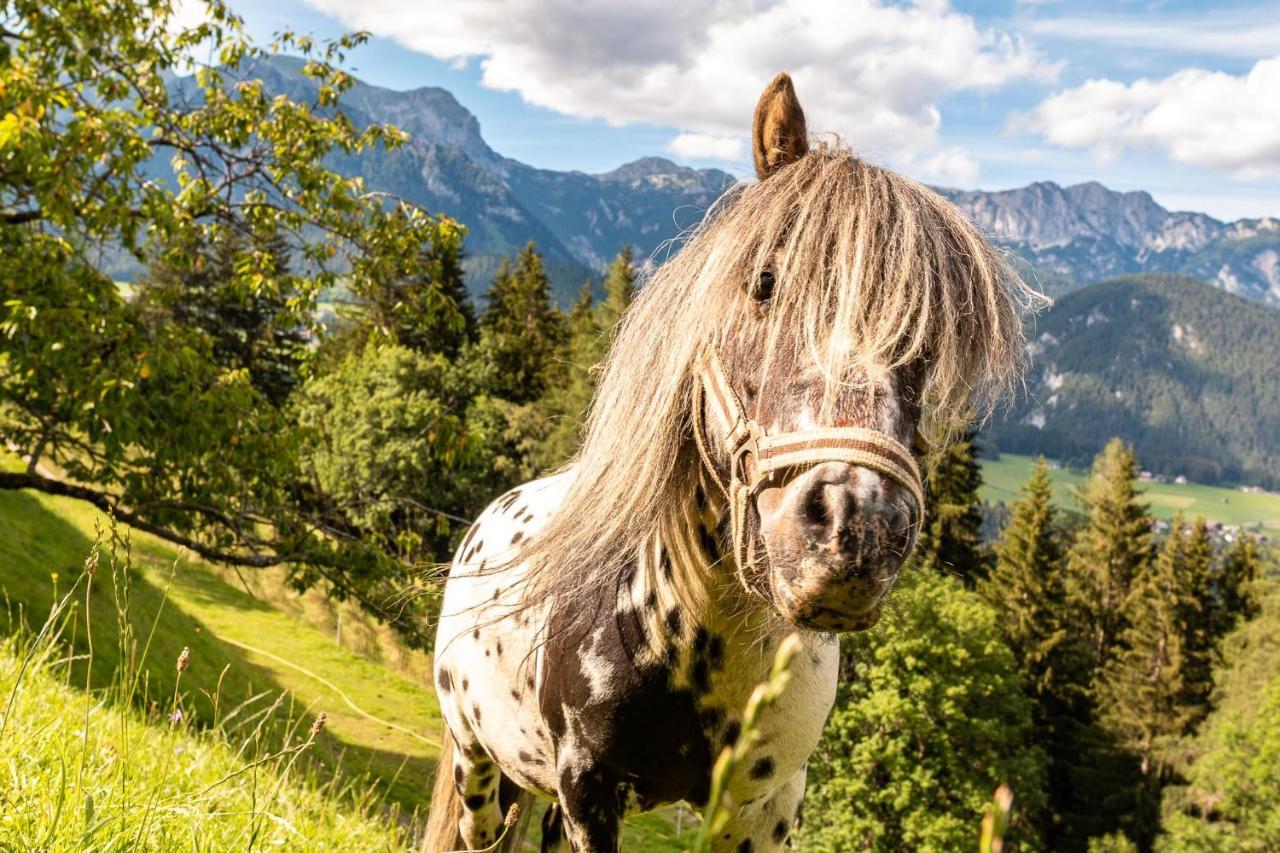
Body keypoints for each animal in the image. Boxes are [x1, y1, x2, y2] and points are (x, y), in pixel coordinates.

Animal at [422, 74, 1039, 850]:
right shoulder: (588, 788)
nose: (858, 527)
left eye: (927, 341)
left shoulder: (763, 807)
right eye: (765, 282)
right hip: (478, 767)